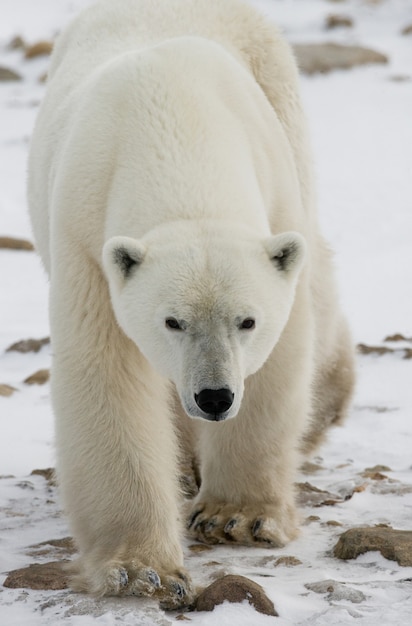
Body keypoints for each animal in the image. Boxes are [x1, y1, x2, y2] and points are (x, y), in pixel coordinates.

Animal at [28, 0, 354, 608]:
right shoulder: (86, 240)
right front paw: (140, 568)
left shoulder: (274, 194)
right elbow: (107, 377)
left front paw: (237, 517)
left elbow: (280, 358)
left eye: (247, 320)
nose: (215, 396)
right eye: (172, 321)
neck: (175, 126)